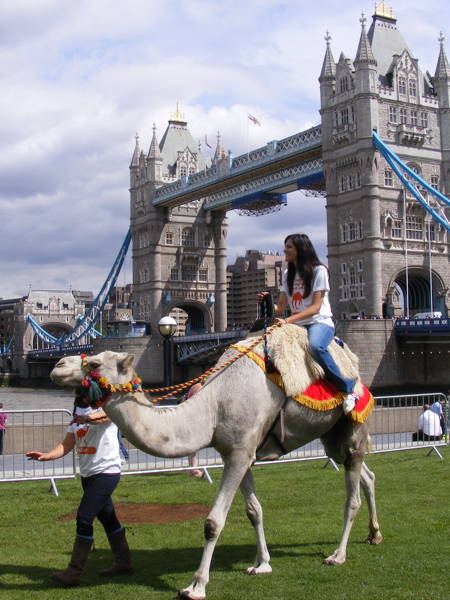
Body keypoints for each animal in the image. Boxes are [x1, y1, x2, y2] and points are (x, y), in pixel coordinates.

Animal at [51, 332, 384, 600]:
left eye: (95, 364)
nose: (57, 366)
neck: (212, 409)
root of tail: (355, 370)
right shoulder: (240, 453)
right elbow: (254, 511)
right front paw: (261, 564)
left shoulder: (238, 455)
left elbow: (213, 522)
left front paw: (196, 586)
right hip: (331, 436)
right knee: (367, 475)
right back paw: (374, 535)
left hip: (353, 428)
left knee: (352, 494)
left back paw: (337, 555)